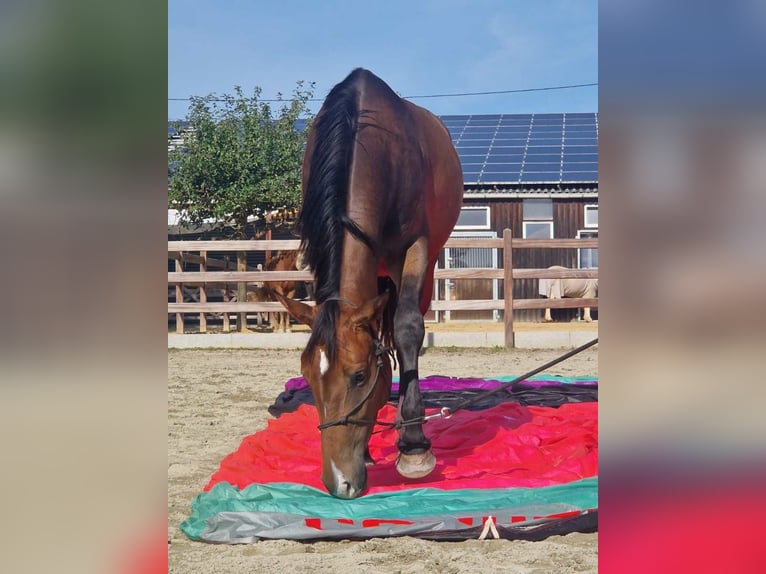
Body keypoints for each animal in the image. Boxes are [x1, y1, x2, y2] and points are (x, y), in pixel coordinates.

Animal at [274, 68, 462, 500]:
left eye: (359, 376)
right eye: (307, 376)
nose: (338, 482)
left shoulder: (415, 248)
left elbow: (408, 329)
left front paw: (414, 447)